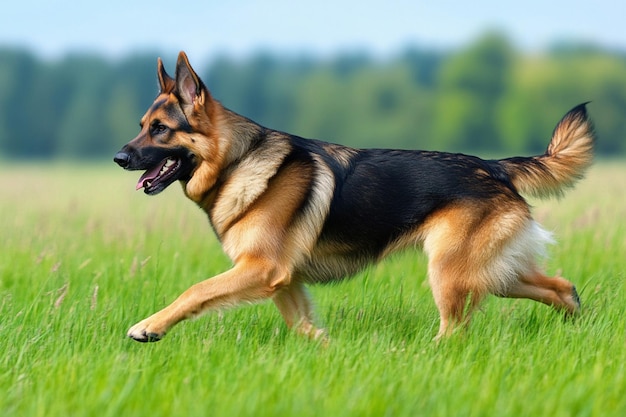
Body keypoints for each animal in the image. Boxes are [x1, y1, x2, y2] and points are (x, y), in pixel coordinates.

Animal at [114, 51, 592, 342]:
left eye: (160, 129)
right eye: (141, 126)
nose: (119, 157)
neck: (237, 162)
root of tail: (494, 167)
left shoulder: (262, 270)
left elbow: (194, 291)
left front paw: (149, 327)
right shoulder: (283, 280)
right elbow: (306, 329)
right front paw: (329, 354)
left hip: (450, 273)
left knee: (455, 332)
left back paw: (428, 356)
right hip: (491, 273)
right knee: (560, 287)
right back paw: (576, 323)